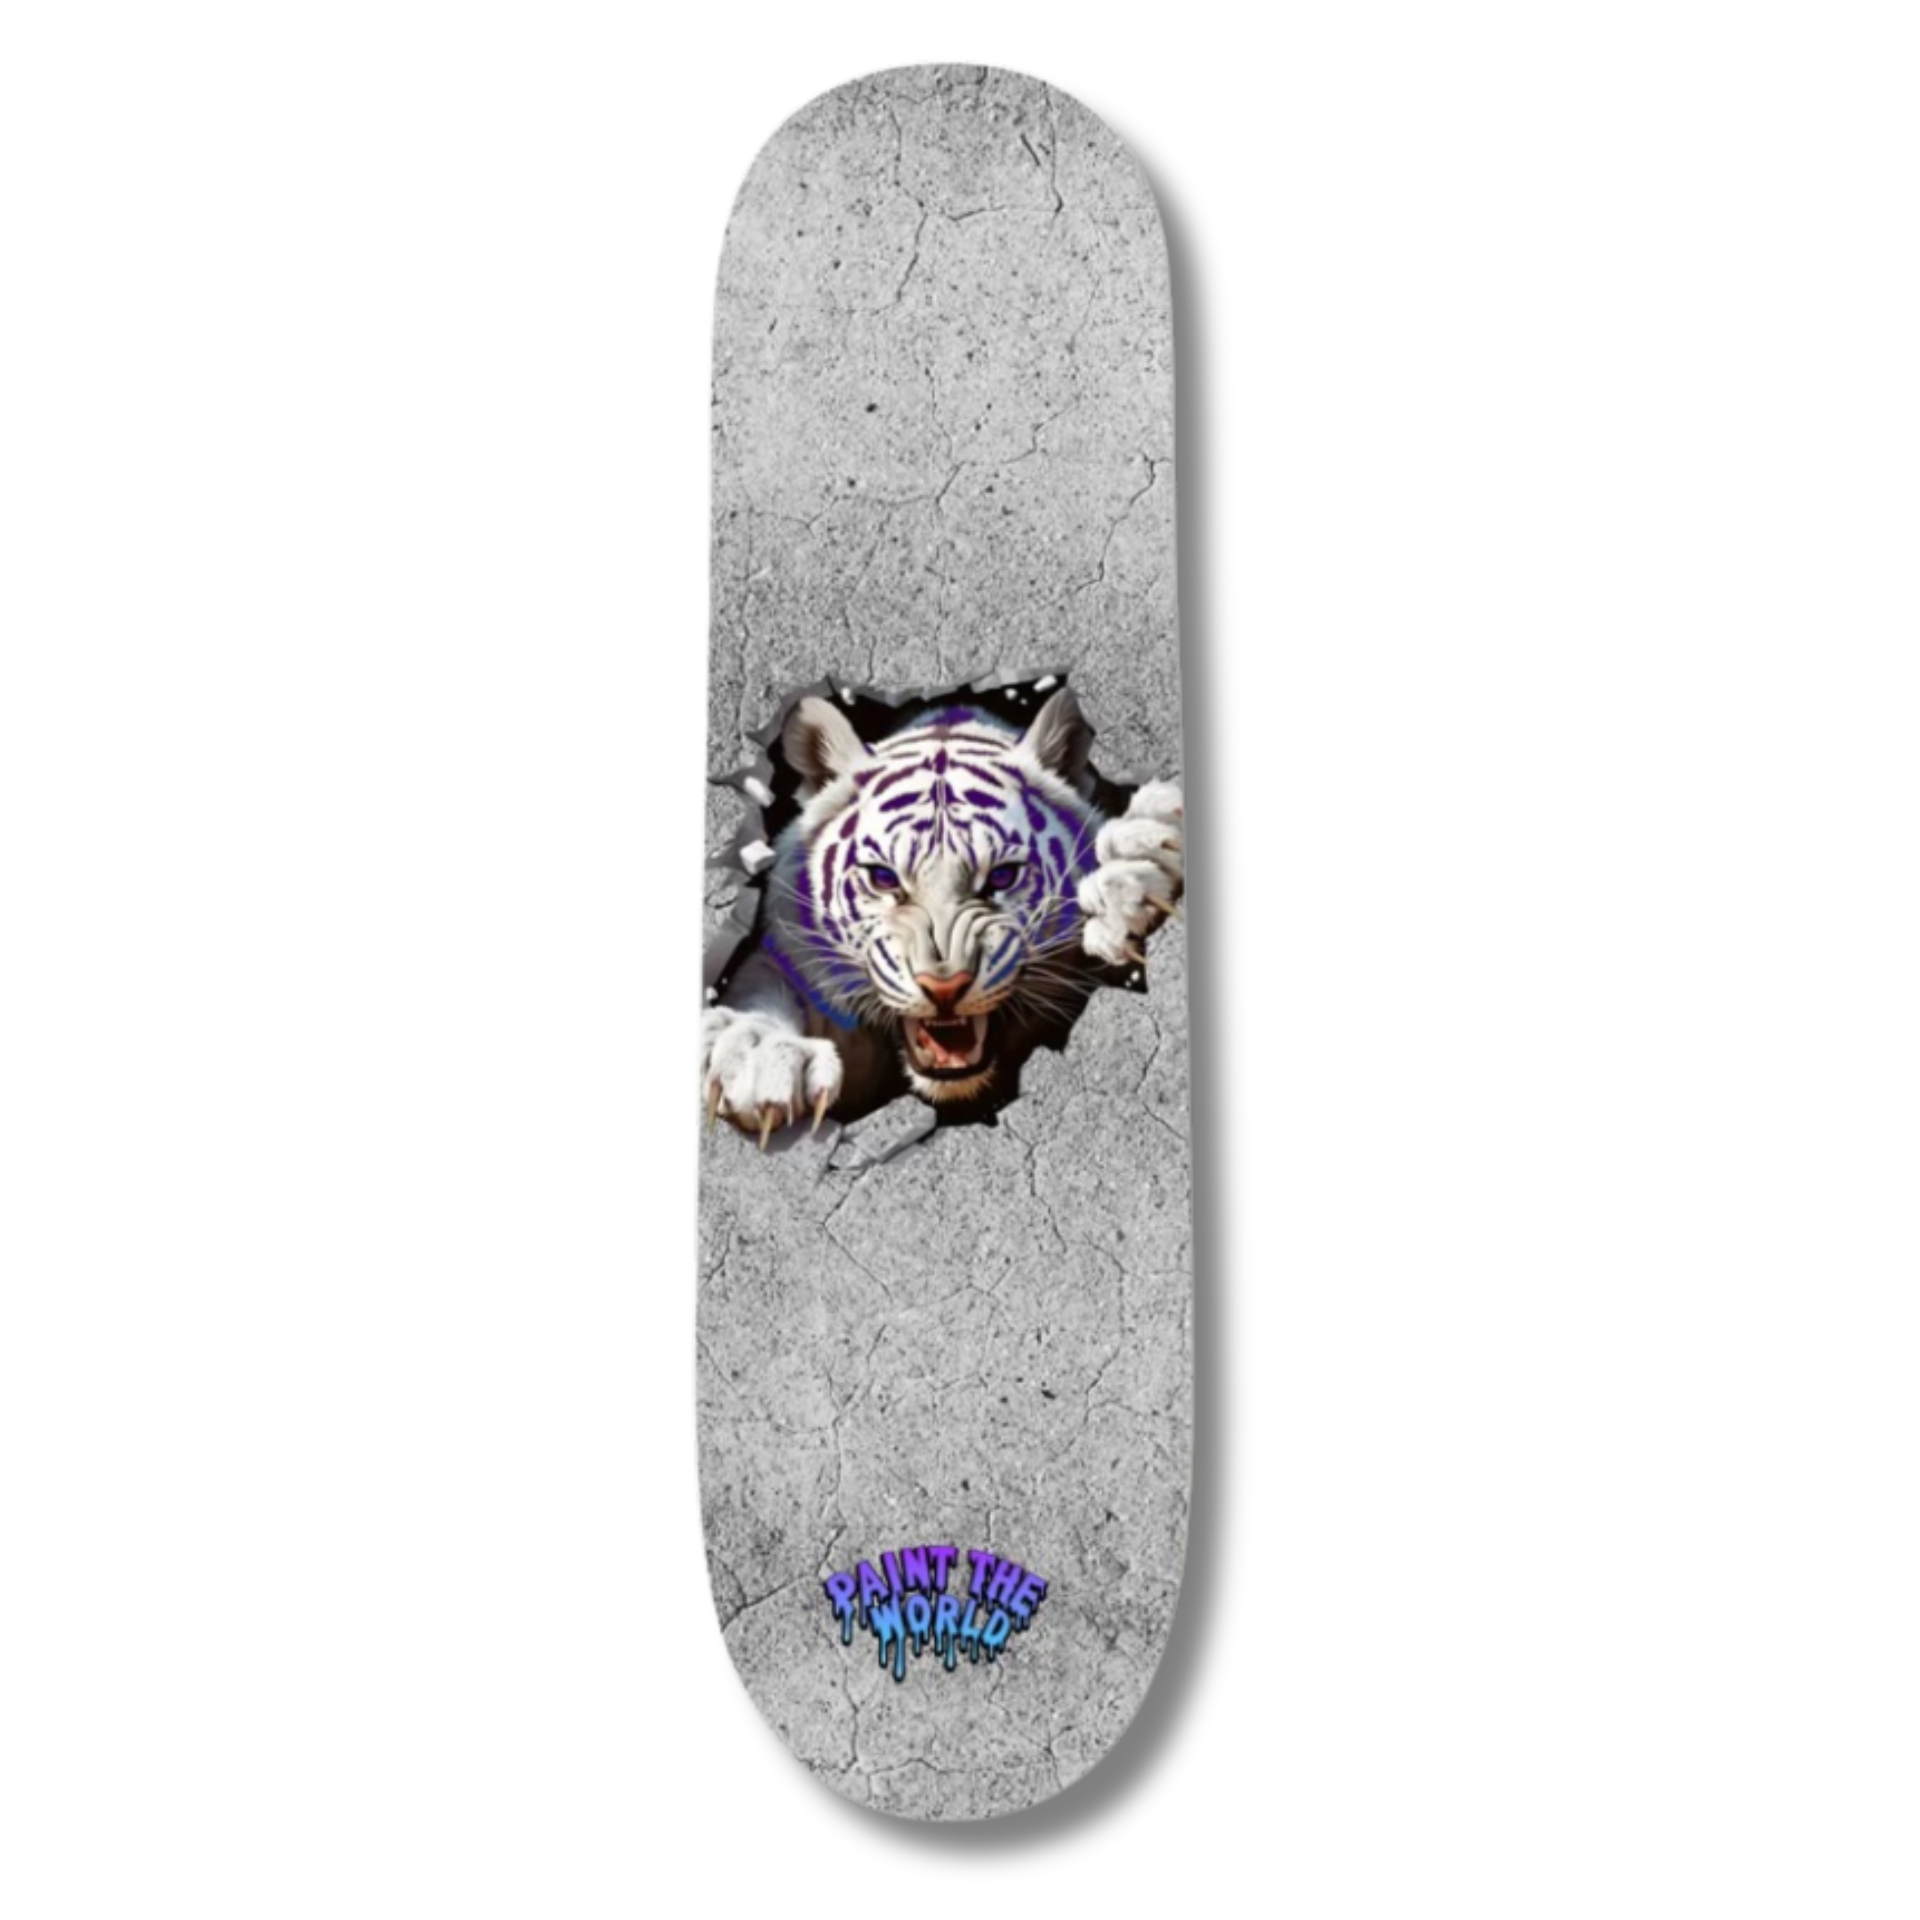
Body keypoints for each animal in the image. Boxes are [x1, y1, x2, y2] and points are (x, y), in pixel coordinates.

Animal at [701, 685, 1183, 1141]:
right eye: (884, 878)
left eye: (1002, 875)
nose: (944, 987)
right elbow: (763, 985)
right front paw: (764, 1059)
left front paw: (1133, 861)